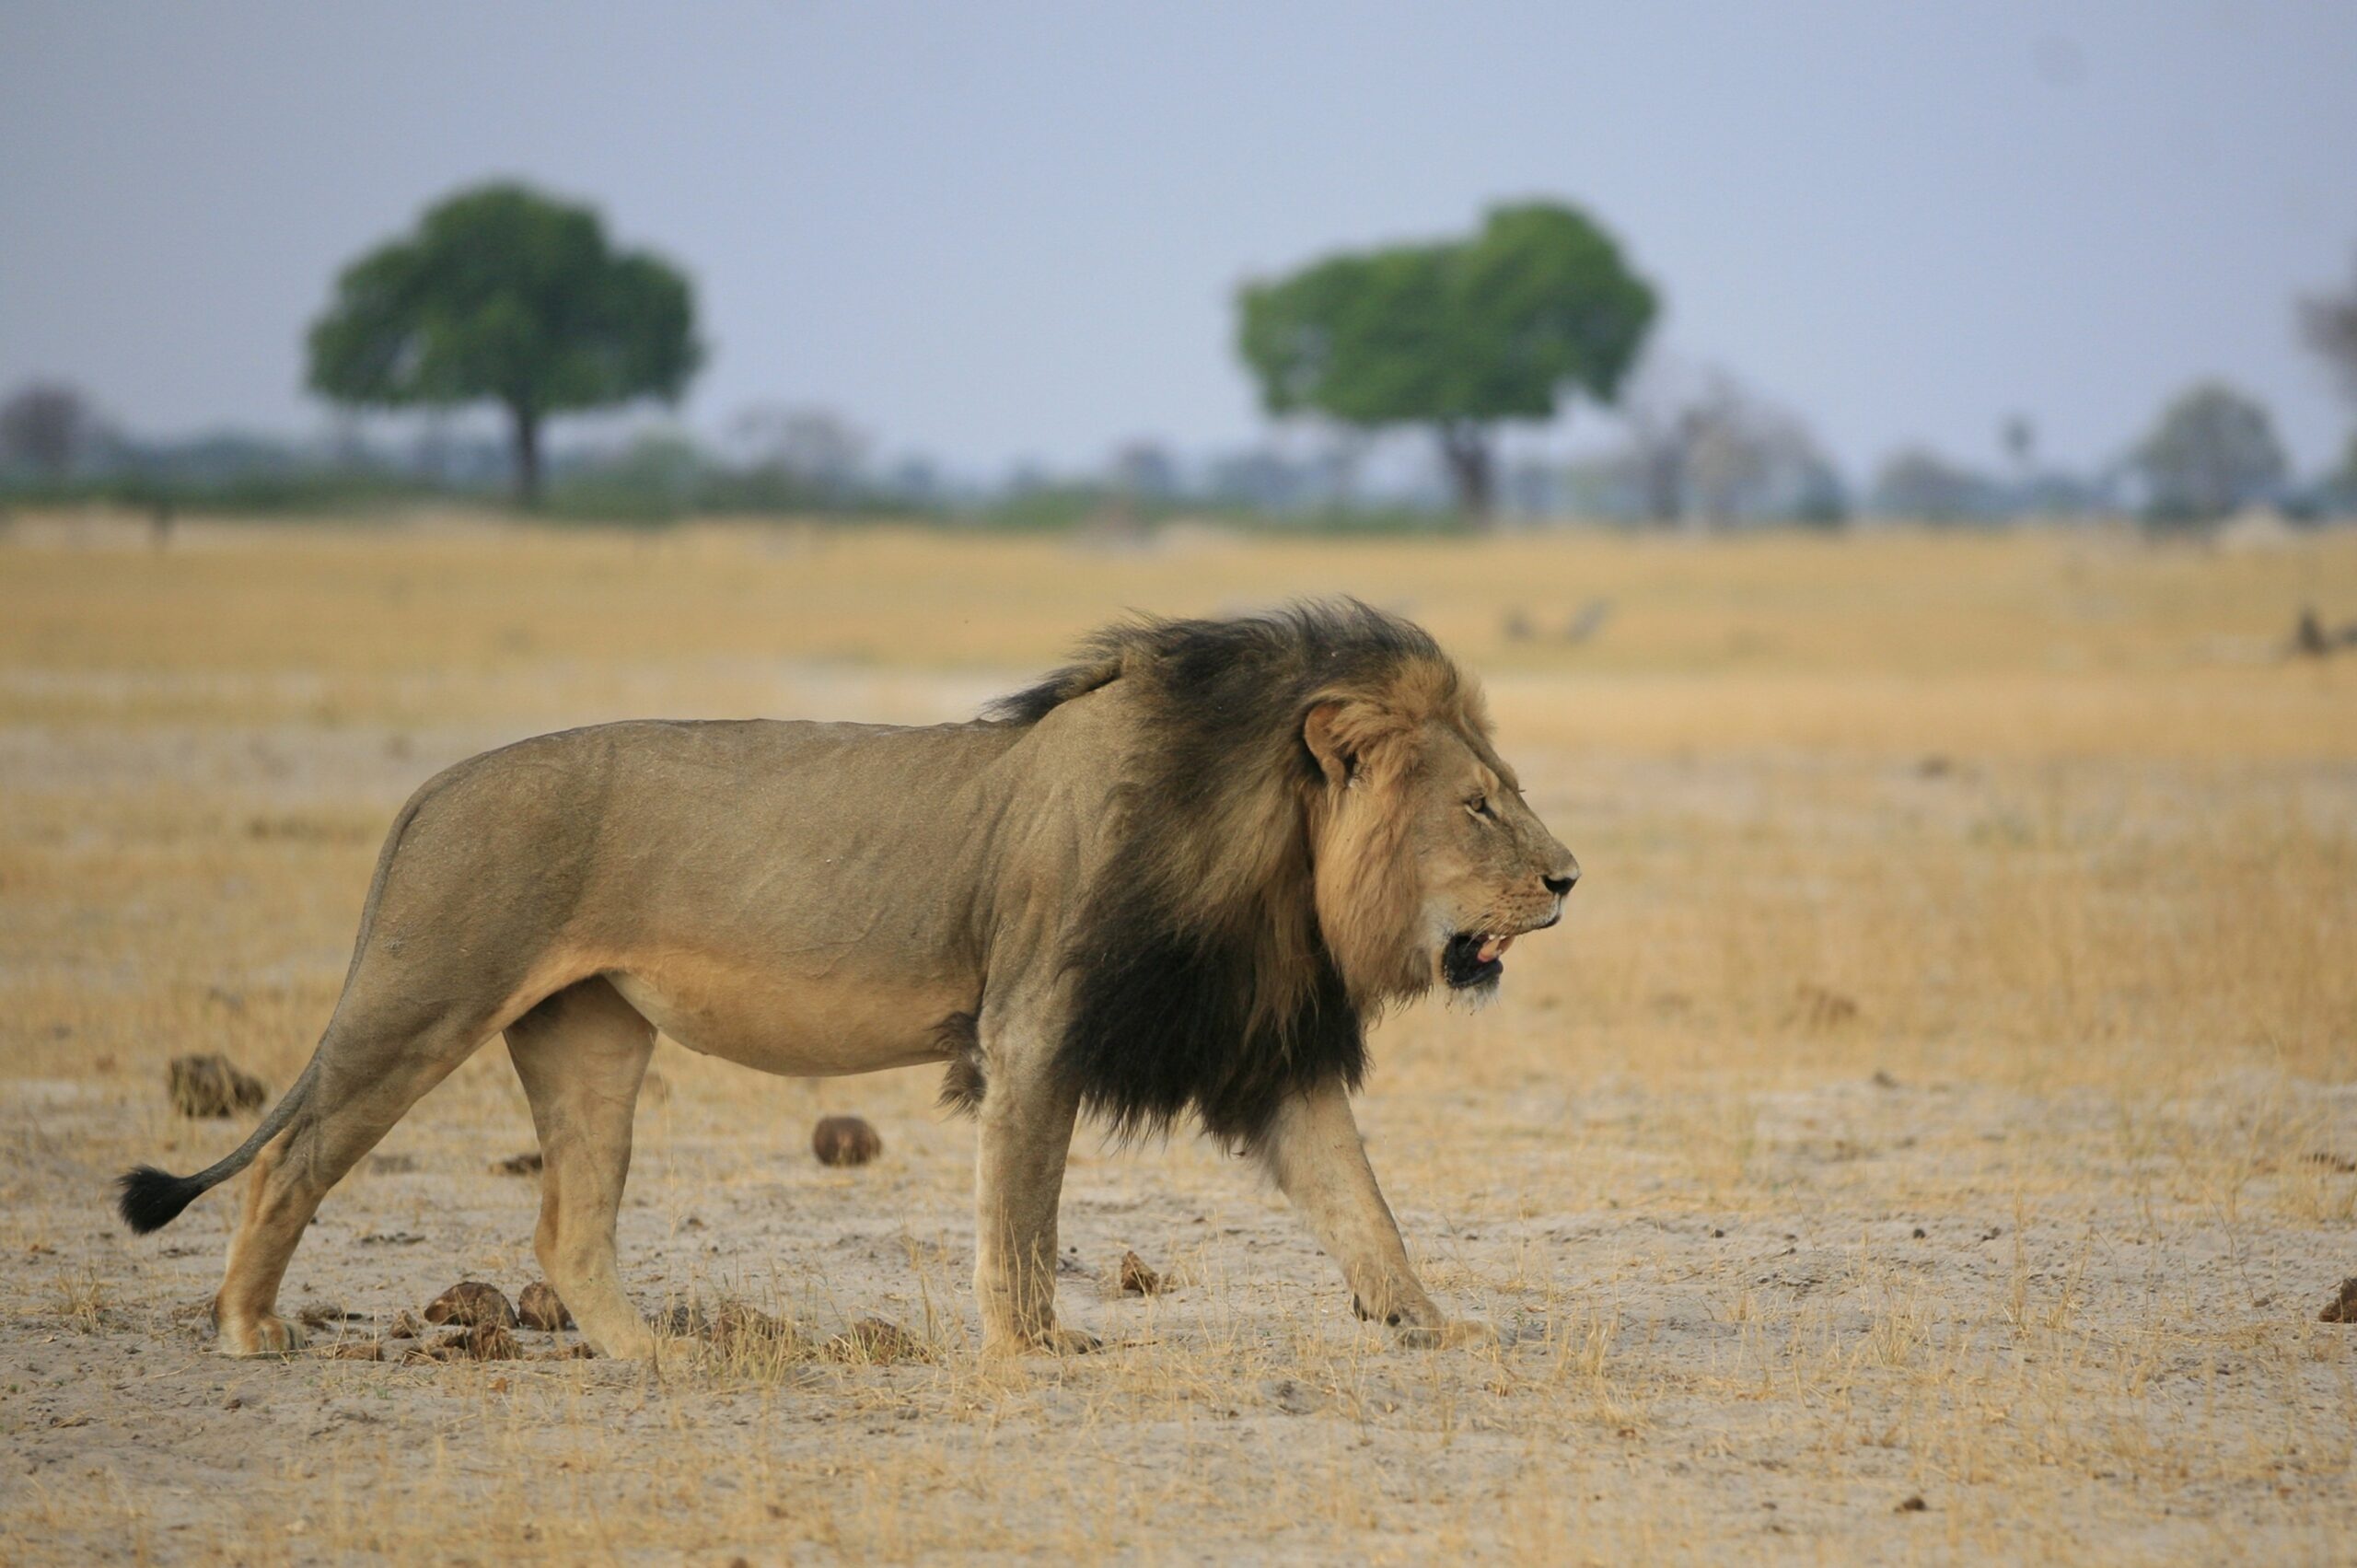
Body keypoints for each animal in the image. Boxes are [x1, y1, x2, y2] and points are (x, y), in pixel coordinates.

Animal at [118, 600, 1578, 1359]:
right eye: (1481, 805)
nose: (1569, 877)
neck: (1269, 849)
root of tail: (428, 788)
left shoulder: (1263, 1050)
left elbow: (1361, 1200)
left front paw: (1433, 1323)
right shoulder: (1034, 1026)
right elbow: (1023, 1213)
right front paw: (1035, 1348)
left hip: (589, 1036)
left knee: (568, 1226)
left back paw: (658, 1355)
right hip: (425, 996)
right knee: (290, 1155)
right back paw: (249, 1327)